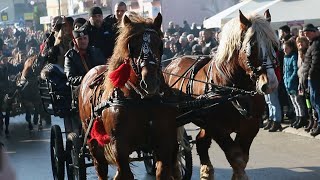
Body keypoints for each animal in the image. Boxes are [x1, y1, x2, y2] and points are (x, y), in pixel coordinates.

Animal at [77, 12, 178, 179]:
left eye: (159, 44)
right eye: (133, 46)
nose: (149, 81)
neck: (144, 101)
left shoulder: (164, 141)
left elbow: (162, 172)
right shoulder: (119, 146)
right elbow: (125, 173)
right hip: (93, 142)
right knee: (101, 167)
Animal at [164, 10, 278, 180]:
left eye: (275, 45)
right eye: (252, 46)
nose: (271, 83)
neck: (233, 90)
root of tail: (170, 64)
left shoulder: (249, 127)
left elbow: (242, 159)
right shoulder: (217, 128)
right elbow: (236, 158)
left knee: (201, 142)